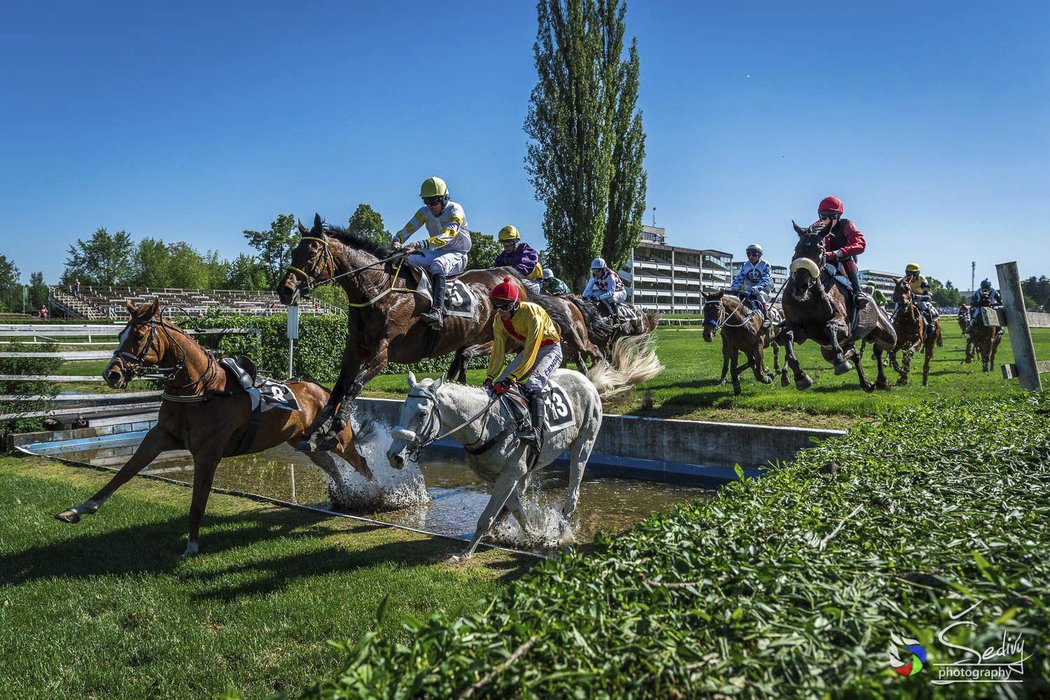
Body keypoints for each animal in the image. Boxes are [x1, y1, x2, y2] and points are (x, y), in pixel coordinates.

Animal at [55, 302, 373, 558]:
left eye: (140, 336)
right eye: (121, 334)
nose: (112, 373)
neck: (203, 390)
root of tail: (324, 390)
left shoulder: (207, 453)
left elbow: (197, 503)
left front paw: (191, 546)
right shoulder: (159, 436)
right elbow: (124, 472)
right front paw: (78, 509)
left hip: (339, 440)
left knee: (362, 464)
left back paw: (375, 494)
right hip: (303, 442)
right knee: (331, 466)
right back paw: (344, 496)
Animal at [279, 214, 529, 451]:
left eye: (312, 252)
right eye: (294, 251)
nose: (285, 290)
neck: (379, 289)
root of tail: (510, 275)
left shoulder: (383, 351)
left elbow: (354, 385)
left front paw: (333, 431)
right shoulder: (355, 347)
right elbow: (339, 387)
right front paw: (315, 433)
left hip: (502, 336)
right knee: (460, 357)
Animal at [781, 221, 894, 392]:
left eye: (820, 249)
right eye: (796, 248)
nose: (800, 286)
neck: (808, 299)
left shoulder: (843, 324)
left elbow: (830, 326)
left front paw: (840, 363)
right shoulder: (799, 329)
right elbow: (788, 336)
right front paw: (800, 377)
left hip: (888, 334)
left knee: (880, 348)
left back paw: (880, 379)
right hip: (828, 350)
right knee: (855, 352)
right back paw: (866, 382)